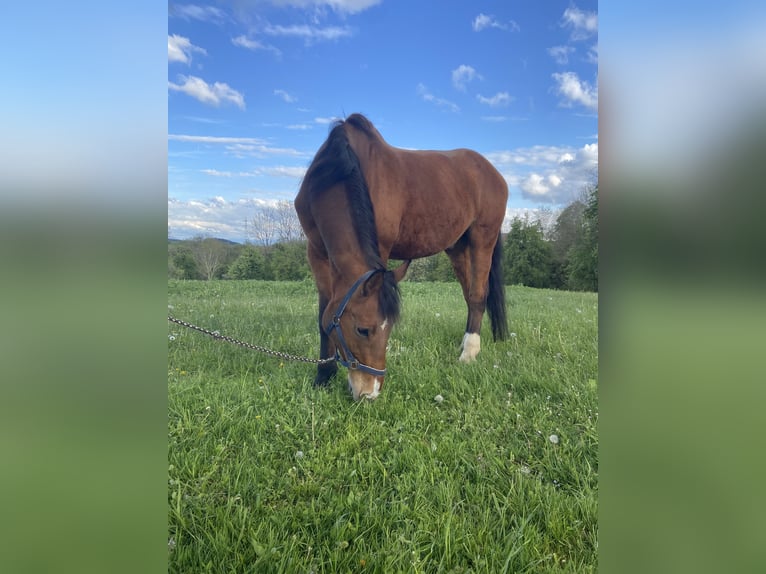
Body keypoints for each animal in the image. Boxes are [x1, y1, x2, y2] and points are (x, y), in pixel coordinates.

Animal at [296, 112, 510, 400]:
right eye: (363, 330)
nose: (370, 392)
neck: (336, 173)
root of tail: (493, 172)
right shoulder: (317, 252)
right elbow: (324, 316)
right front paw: (323, 376)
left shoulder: (381, 248)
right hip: (458, 247)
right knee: (470, 295)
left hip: (482, 238)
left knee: (478, 295)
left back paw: (469, 353)